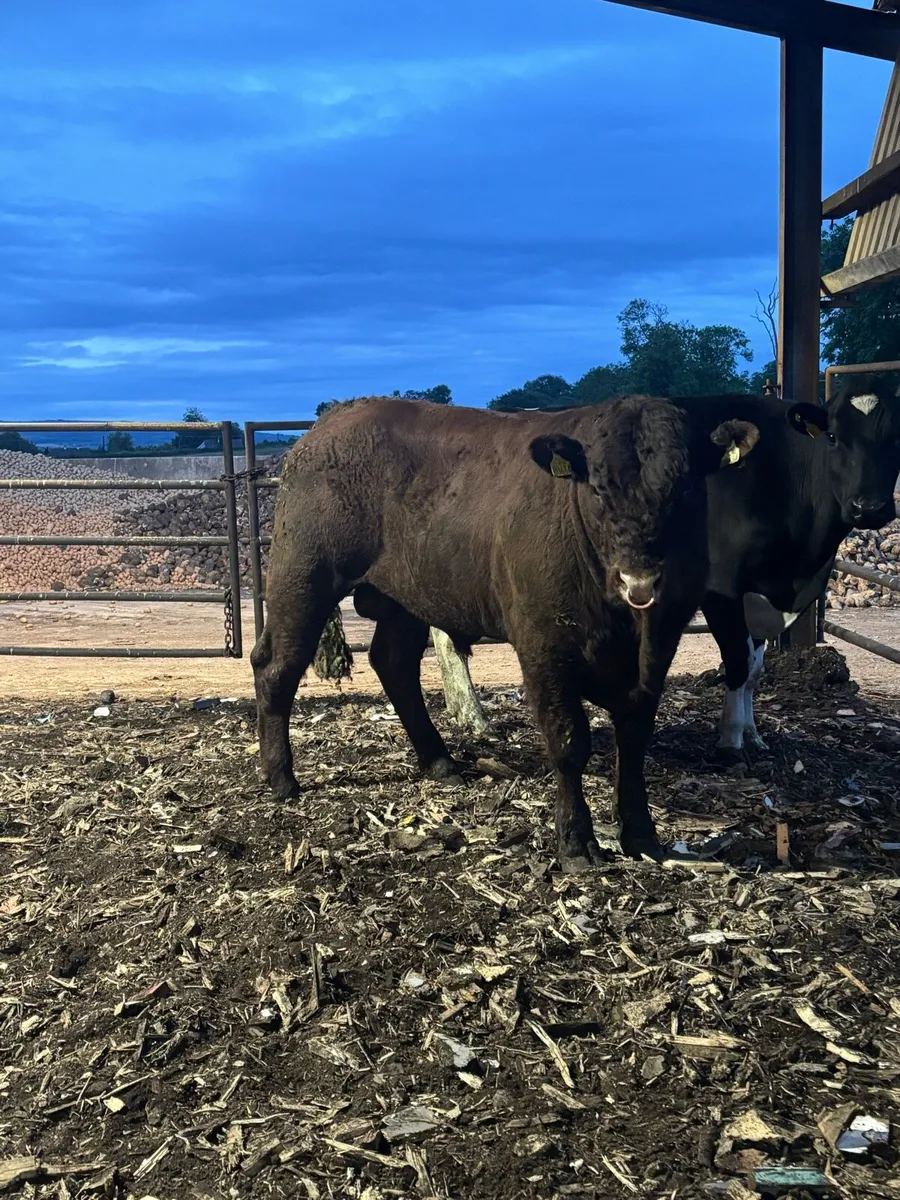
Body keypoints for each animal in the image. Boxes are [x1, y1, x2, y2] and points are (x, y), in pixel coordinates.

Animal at [251, 394, 760, 870]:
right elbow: (569, 742)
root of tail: (332, 420)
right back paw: (282, 778)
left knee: (393, 663)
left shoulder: (660, 644)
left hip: (405, 598)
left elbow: (633, 739)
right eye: (597, 489)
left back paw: (439, 761)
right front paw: (576, 843)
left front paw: (642, 836)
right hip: (303, 577)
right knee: (277, 666)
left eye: (684, 487)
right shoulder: (543, 645)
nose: (639, 580)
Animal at [671, 373, 900, 757]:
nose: (869, 507)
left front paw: (752, 734)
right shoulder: (721, 589)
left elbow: (754, 668)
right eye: (833, 436)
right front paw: (731, 741)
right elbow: (737, 661)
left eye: (896, 435)